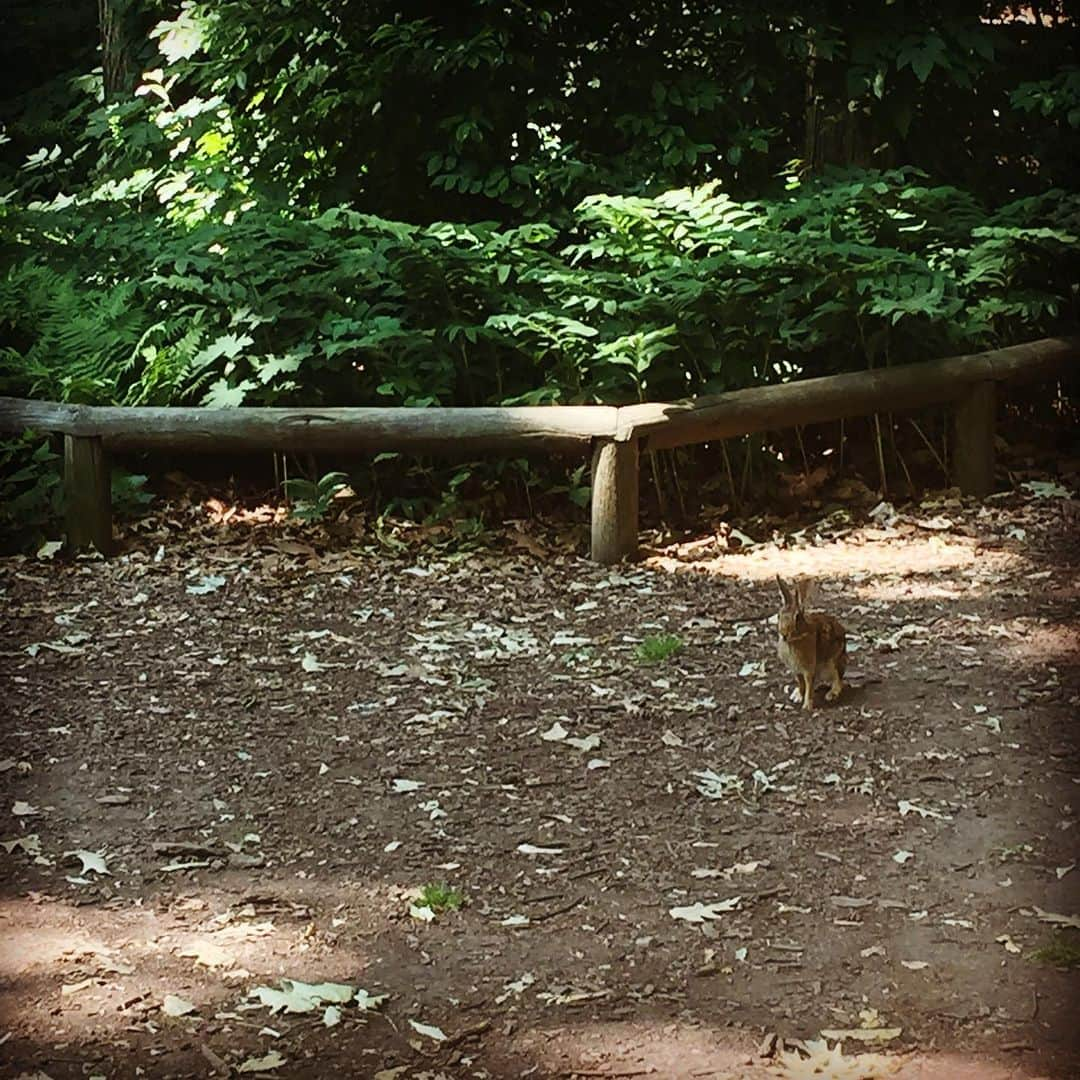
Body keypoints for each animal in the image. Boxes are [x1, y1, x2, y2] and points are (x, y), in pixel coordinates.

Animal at [773, 574, 846, 708]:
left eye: (797, 618)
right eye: (778, 616)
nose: (784, 634)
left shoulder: (809, 668)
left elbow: (809, 685)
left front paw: (807, 706)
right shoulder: (796, 670)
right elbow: (801, 683)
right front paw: (798, 697)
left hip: (833, 663)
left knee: (838, 680)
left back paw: (831, 694)